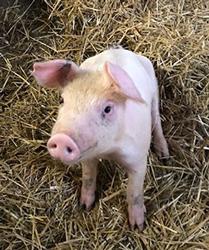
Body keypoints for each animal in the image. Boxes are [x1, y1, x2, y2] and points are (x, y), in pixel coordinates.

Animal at [33, 47, 170, 230]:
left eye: (107, 109)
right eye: (62, 100)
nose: (62, 139)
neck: (108, 151)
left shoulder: (139, 158)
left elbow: (134, 192)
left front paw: (137, 226)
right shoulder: (87, 157)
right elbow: (89, 177)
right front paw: (85, 206)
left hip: (154, 91)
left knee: (157, 120)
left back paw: (164, 156)